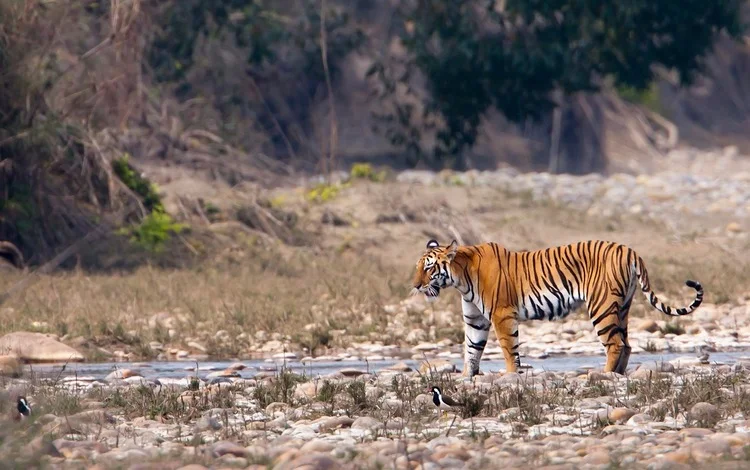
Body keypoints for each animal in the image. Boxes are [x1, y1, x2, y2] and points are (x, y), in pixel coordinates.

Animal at [412, 239, 704, 374]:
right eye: (417, 267)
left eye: (428, 268)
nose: (415, 286)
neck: (461, 279)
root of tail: (630, 251)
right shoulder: (475, 320)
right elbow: (471, 350)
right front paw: (467, 377)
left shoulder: (502, 315)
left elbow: (508, 349)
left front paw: (510, 375)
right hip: (622, 307)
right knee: (627, 344)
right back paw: (618, 374)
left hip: (601, 306)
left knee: (615, 343)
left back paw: (604, 375)